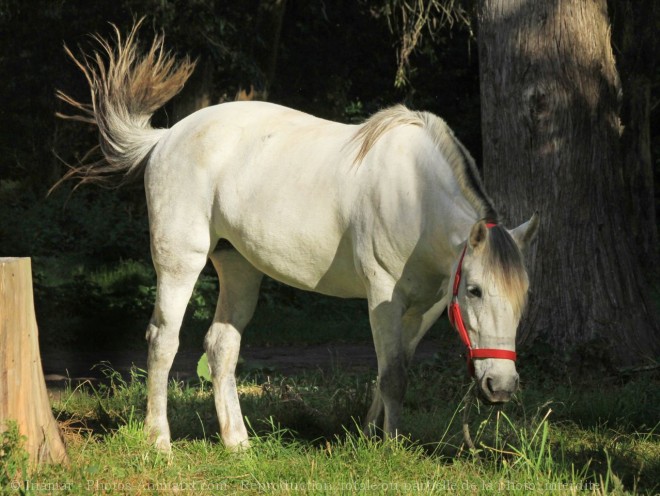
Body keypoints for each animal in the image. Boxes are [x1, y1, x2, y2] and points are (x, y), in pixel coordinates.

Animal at [58, 23, 536, 452]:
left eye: (522, 298)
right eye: (474, 290)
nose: (501, 386)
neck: (414, 198)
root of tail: (165, 138)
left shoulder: (427, 308)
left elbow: (393, 370)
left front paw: (369, 435)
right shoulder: (383, 296)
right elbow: (393, 375)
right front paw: (389, 448)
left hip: (239, 267)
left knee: (221, 346)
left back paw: (237, 442)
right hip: (180, 261)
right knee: (163, 340)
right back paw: (159, 441)